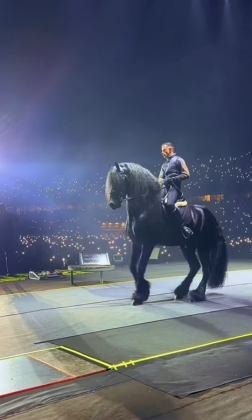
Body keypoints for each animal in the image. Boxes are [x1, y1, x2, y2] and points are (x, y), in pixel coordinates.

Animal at [105, 162, 227, 306]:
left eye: (121, 178)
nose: (112, 203)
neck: (145, 207)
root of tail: (210, 215)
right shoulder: (136, 242)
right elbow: (132, 267)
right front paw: (141, 290)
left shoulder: (148, 243)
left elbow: (141, 267)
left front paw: (140, 295)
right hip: (187, 246)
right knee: (195, 266)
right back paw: (181, 292)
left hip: (203, 247)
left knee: (206, 269)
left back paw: (197, 295)